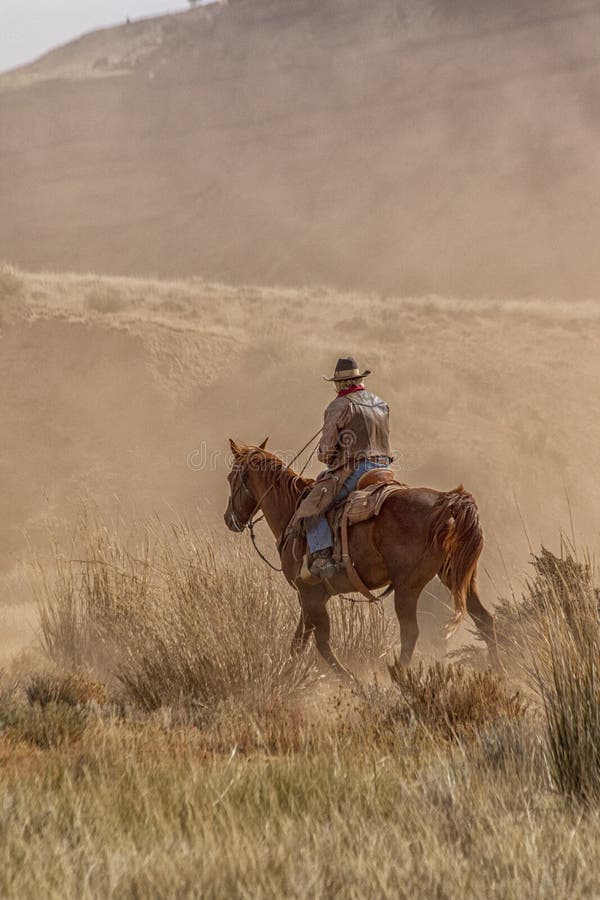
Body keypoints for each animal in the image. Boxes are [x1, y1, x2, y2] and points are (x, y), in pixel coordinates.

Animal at [223, 440, 500, 680]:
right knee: (485, 621)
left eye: (230, 478)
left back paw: (397, 677)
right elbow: (302, 641)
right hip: (459, 578)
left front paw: (350, 679)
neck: (291, 512)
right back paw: (499, 670)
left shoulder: (310, 594)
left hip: (408, 587)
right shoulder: (314, 595)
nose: (229, 519)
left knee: (410, 632)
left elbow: (319, 642)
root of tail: (446, 502)